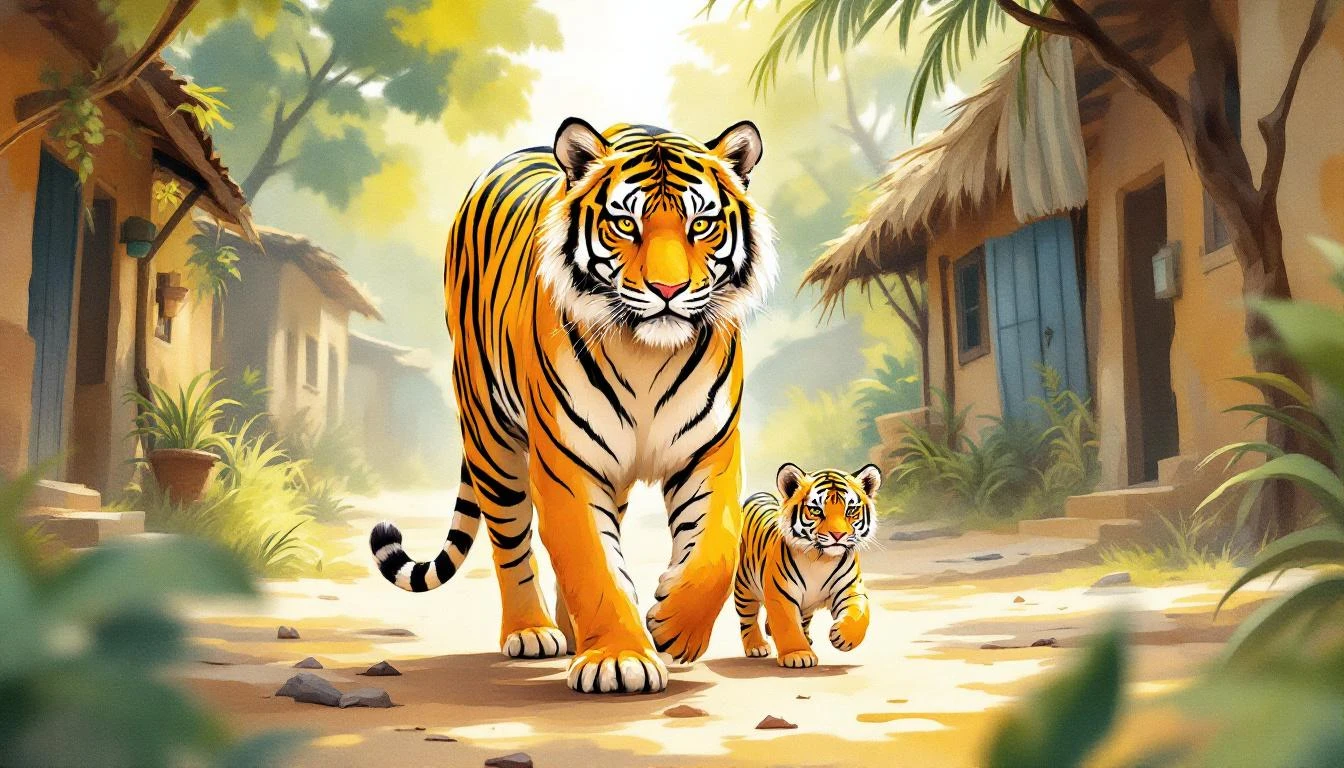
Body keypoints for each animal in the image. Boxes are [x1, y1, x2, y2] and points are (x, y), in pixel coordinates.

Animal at [368, 119, 776, 694]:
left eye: (701, 224)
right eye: (625, 224)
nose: (668, 289)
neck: (645, 351)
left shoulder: (707, 450)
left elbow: (717, 547)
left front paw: (673, 626)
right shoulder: (568, 461)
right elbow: (590, 559)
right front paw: (620, 659)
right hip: (491, 436)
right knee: (511, 539)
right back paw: (532, 631)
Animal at [734, 463, 882, 668]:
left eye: (851, 510)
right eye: (817, 511)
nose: (838, 535)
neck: (821, 559)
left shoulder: (849, 588)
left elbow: (859, 612)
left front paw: (843, 636)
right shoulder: (782, 595)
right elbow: (788, 626)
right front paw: (798, 655)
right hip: (744, 589)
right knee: (748, 618)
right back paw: (756, 646)